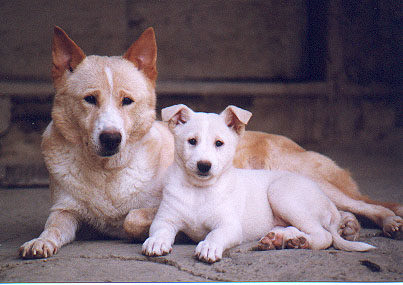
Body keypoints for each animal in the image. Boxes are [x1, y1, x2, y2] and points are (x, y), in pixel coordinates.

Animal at [143, 103, 376, 262]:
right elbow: (160, 230)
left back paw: (301, 242)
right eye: (192, 141)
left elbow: (216, 234)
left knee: (324, 236)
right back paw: (282, 238)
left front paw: (208, 247)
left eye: (219, 143)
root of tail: (328, 202)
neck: (199, 190)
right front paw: (156, 242)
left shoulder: (229, 225)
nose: (204, 166)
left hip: (282, 194)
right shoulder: (165, 219)